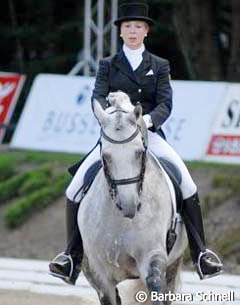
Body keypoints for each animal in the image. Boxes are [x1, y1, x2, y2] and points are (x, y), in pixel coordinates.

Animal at [79, 92, 188, 304]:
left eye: (139, 153)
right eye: (106, 156)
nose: (129, 206)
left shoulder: (152, 256)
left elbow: (155, 286)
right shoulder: (99, 274)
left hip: (173, 263)